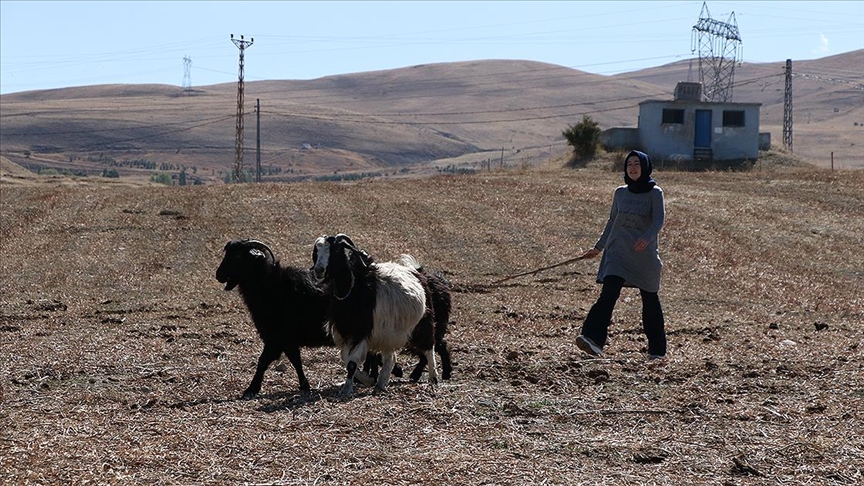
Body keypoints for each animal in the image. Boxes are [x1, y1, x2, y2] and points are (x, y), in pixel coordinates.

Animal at [310, 234, 438, 396]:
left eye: (337, 250)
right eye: (316, 250)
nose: (319, 270)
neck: (353, 290)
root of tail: (417, 272)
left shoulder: (362, 332)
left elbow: (351, 363)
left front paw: (347, 389)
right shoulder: (346, 332)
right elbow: (346, 359)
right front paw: (368, 379)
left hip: (423, 323)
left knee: (429, 347)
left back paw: (434, 377)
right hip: (390, 333)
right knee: (390, 357)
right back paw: (381, 383)